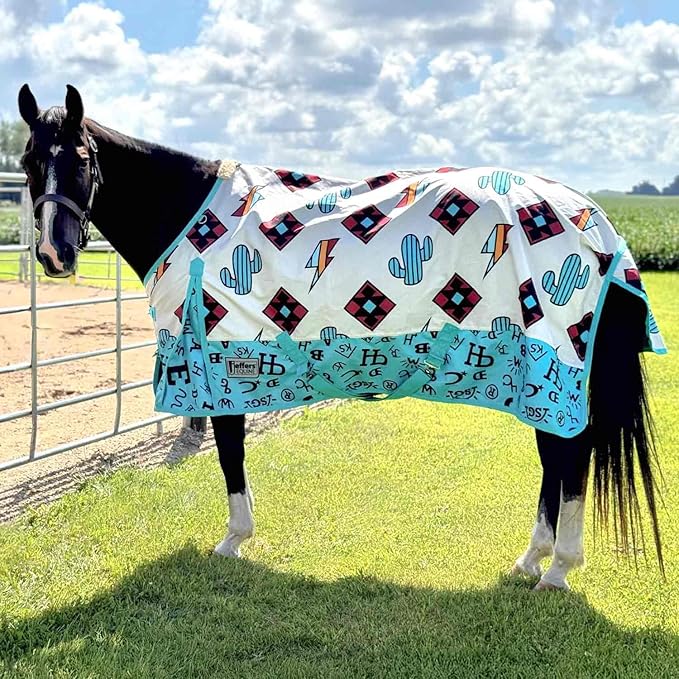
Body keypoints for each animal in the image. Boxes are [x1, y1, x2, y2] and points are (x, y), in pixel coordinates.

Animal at [17, 83, 665, 591]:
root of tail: (595, 223)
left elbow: (229, 451)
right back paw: (532, 559)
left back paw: (557, 569)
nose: (54, 254)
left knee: (569, 456)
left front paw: (234, 540)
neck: (188, 214)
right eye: (27, 162)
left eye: (81, 158)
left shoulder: (222, 367)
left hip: (551, 368)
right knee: (556, 459)